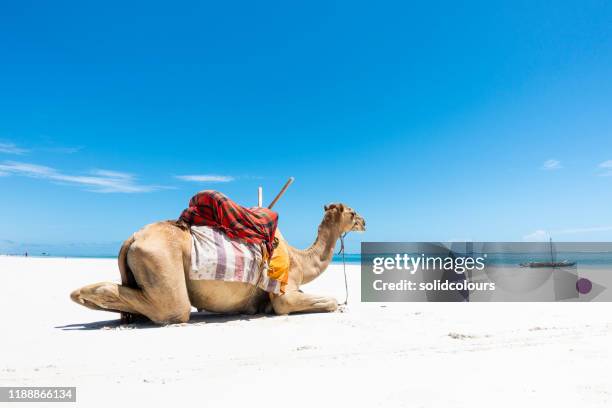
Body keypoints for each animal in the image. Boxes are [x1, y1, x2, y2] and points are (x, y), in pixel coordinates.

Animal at [69, 202, 366, 324]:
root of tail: (131, 238)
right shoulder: (285, 294)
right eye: (352, 212)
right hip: (162, 261)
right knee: (174, 311)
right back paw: (85, 294)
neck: (301, 260)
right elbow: (330, 302)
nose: (364, 221)